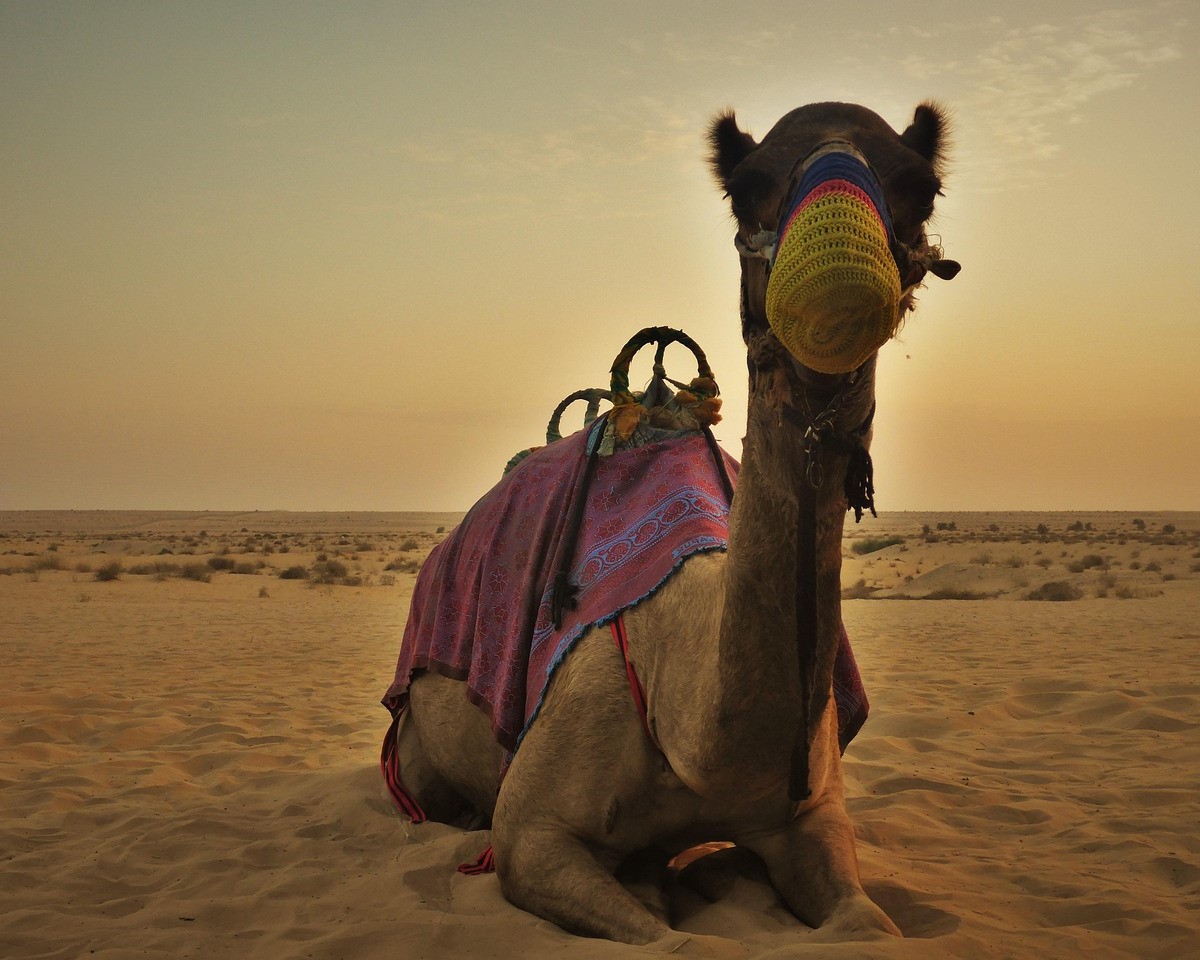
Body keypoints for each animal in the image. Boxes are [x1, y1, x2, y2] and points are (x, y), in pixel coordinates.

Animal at [388, 100, 959, 947]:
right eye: (747, 185)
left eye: (921, 186)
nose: (838, 283)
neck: (694, 731)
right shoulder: (530, 835)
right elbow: (669, 938)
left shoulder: (814, 816)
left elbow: (869, 927)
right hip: (416, 751)